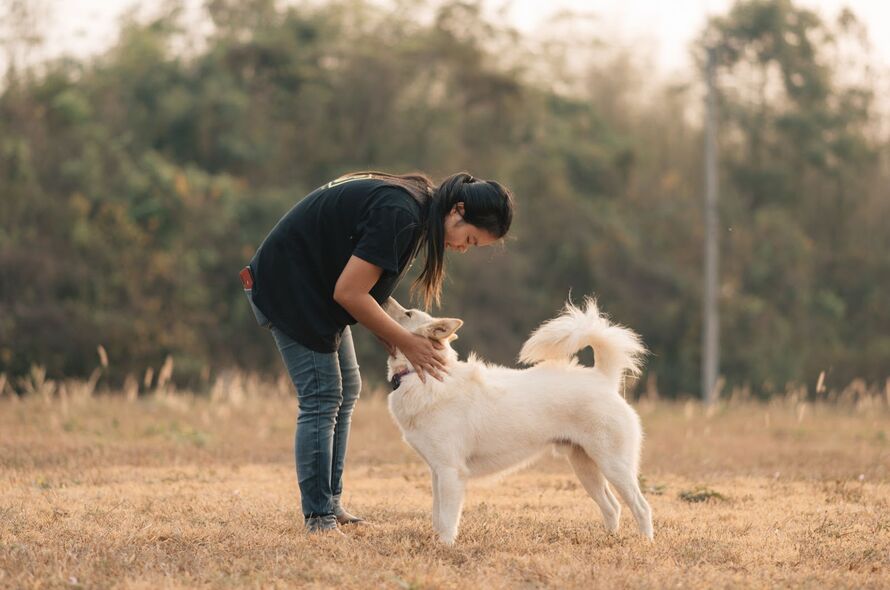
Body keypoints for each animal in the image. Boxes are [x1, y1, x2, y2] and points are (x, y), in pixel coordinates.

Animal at [382, 298, 652, 548]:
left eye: (408, 313)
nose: (383, 299)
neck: (421, 376)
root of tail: (603, 379)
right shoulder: (437, 471)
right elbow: (437, 516)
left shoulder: (451, 472)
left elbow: (447, 519)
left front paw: (446, 547)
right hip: (585, 468)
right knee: (612, 507)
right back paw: (609, 540)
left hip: (614, 466)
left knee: (641, 507)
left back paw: (645, 542)